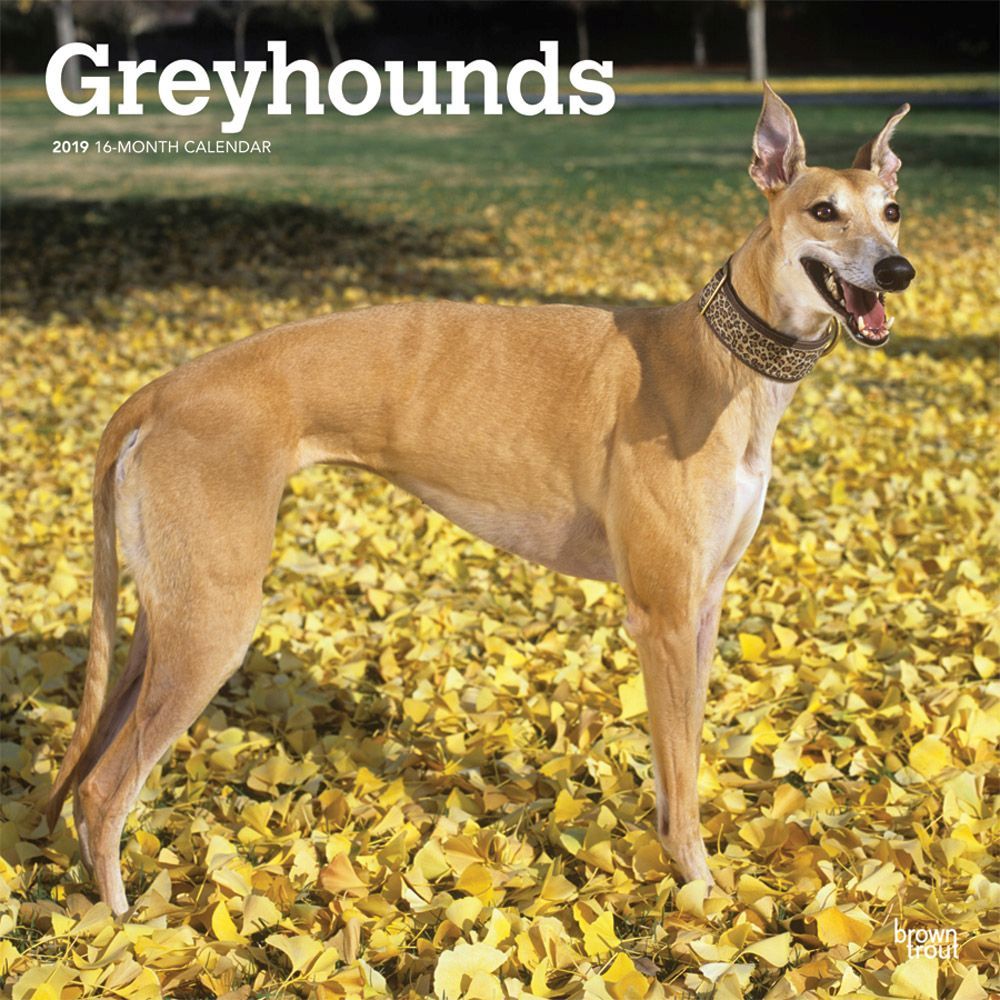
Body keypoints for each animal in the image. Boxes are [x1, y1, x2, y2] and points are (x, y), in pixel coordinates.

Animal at [46, 84, 914, 916]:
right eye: (823, 211)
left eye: (892, 210)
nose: (896, 272)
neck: (718, 361)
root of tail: (160, 391)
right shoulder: (661, 614)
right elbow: (676, 776)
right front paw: (701, 894)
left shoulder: (702, 606)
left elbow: (685, 764)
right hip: (214, 623)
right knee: (103, 788)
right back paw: (122, 925)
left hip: (164, 620)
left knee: (90, 772)